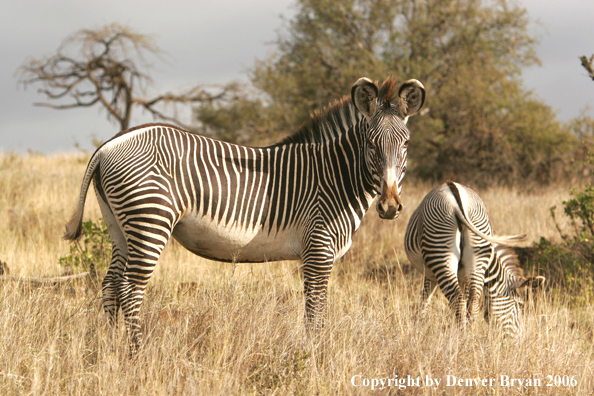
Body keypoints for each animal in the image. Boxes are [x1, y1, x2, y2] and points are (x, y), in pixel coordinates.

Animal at [66, 77, 426, 352]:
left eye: (406, 145)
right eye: (371, 144)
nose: (390, 206)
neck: (334, 176)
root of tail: (110, 144)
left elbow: (317, 309)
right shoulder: (318, 251)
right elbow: (315, 311)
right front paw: (314, 355)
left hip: (118, 226)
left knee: (111, 284)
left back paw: (111, 350)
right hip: (150, 219)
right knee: (131, 287)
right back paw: (137, 354)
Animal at [400, 182, 544, 334]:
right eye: (520, 305)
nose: (519, 338)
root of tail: (456, 199)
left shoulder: (434, 273)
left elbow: (426, 297)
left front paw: (419, 323)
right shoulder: (452, 276)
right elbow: (428, 298)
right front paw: (419, 324)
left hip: (441, 249)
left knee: (458, 298)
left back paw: (462, 334)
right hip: (475, 249)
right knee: (472, 300)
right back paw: (470, 333)